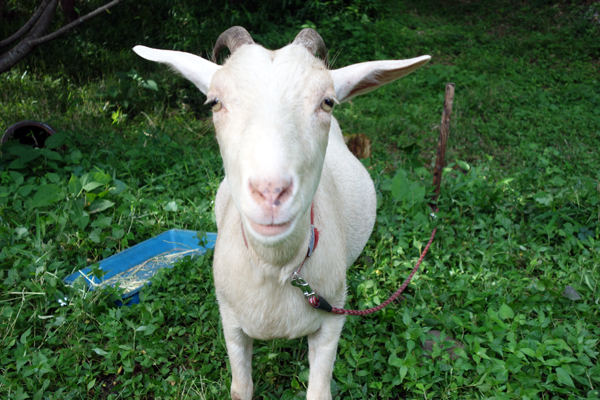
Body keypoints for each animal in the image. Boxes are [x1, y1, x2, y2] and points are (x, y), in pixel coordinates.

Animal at [134, 26, 430, 400]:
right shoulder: (230, 321)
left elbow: (319, 391)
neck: (276, 269)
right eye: (214, 102)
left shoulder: (332, 319)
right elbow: (240, 387)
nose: (271, 192)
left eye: (327, 102)